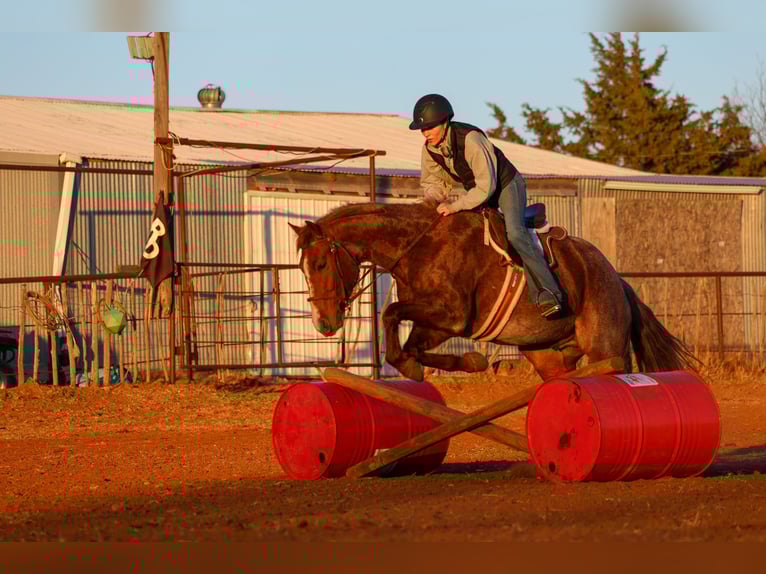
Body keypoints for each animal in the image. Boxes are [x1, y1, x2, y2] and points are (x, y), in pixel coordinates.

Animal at [288, 200, 698, 382]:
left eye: (321, 264)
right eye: (302, 269)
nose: (324, 323)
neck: (418, 245)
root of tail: (617, 280)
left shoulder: (452, 316)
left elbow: (390, 314)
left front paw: (434, 366)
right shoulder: (436, 324)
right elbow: (406, 343)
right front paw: (468, 363)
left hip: (605, 346)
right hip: (548, 353)